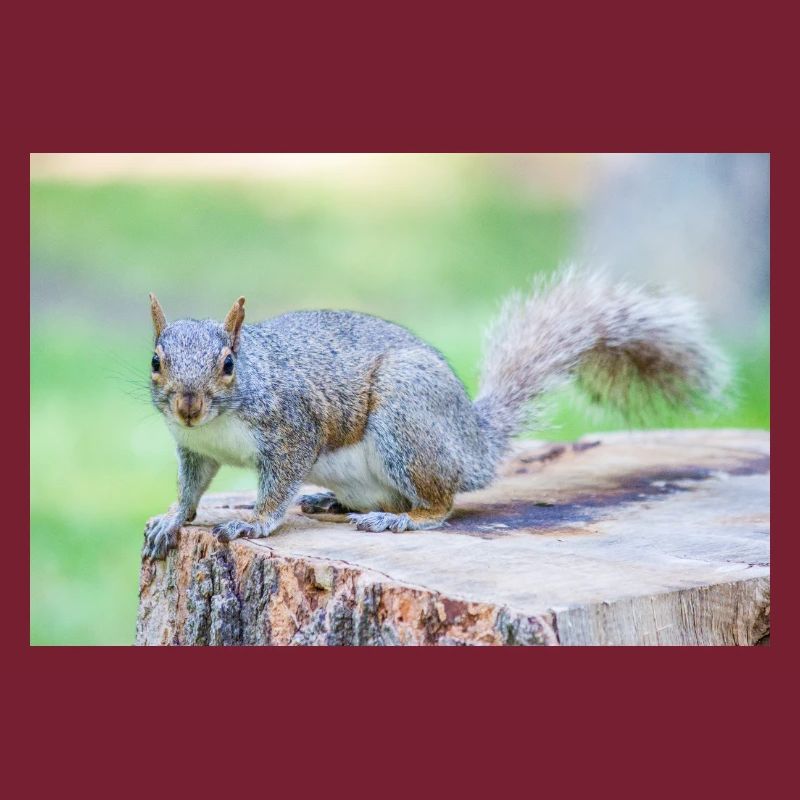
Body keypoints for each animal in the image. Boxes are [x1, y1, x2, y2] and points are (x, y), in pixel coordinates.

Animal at [143, 269, 729, 559]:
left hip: (407, 419)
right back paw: (332, 501)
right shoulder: (193, 449)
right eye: (155, 360)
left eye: (228, 364)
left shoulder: (293, 430)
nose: (188, 405)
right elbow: (192, 489)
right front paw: (172, 519)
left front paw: (254, 522)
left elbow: (277, 484)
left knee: (441, 504)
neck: (219, 423)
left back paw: (400, 518)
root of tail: (473, 443)